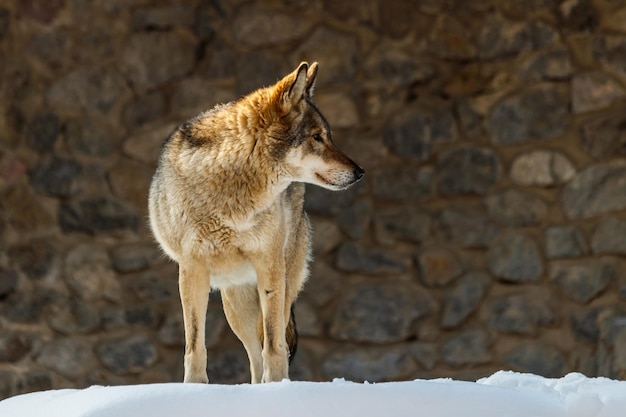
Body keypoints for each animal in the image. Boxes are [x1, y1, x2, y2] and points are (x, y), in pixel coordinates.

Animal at [147, 61, 360, 384]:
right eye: (317, 137)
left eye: (328, 135)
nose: (360, 172)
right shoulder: (191, 270)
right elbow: (194, 345)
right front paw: (194, 387)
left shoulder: (269, 265)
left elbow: (273, 345)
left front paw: (277, 387)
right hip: (234, 305)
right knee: (253, 355)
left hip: (279, 285)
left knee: (273, 342)